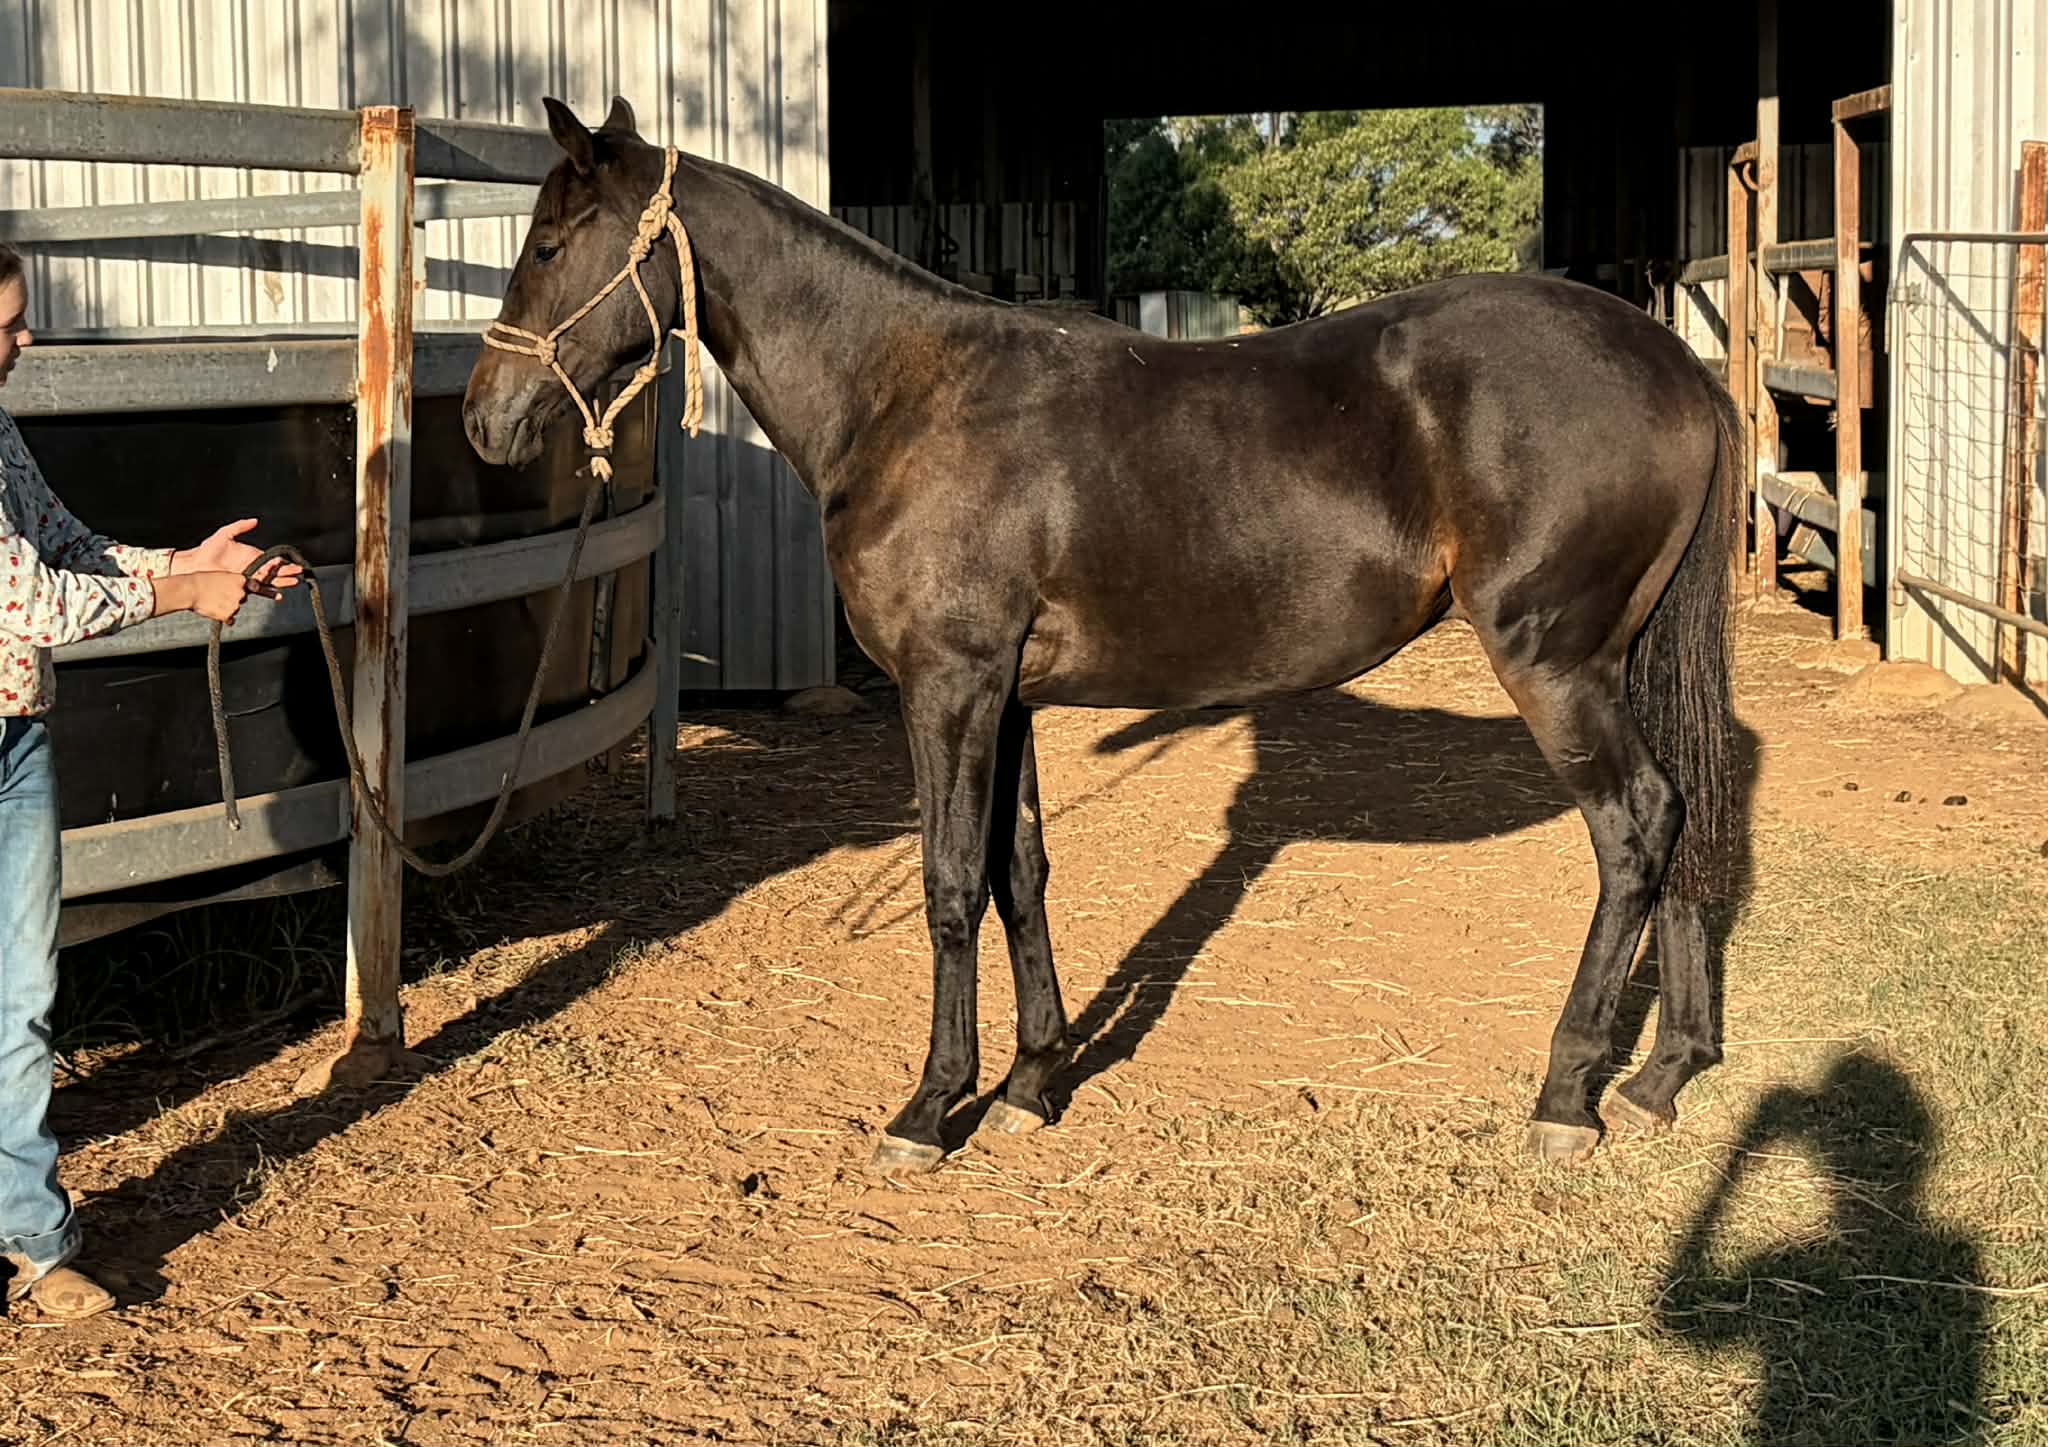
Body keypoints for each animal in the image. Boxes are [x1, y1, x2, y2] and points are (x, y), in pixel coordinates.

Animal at [462, 95, 1744, 1176]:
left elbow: (946, 883)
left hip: (1554, 663)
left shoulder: (947, 687)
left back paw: (1566, 1095)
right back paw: (1658, 1076)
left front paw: (930, 1107)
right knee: (1684, 812)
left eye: (546, 245)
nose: (482, 420)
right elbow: (1017, 872)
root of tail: (1673, 364)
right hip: (1619, 662)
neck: (900, 395)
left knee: (1636, 825)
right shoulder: (1007, 696)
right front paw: (1031, 1081)